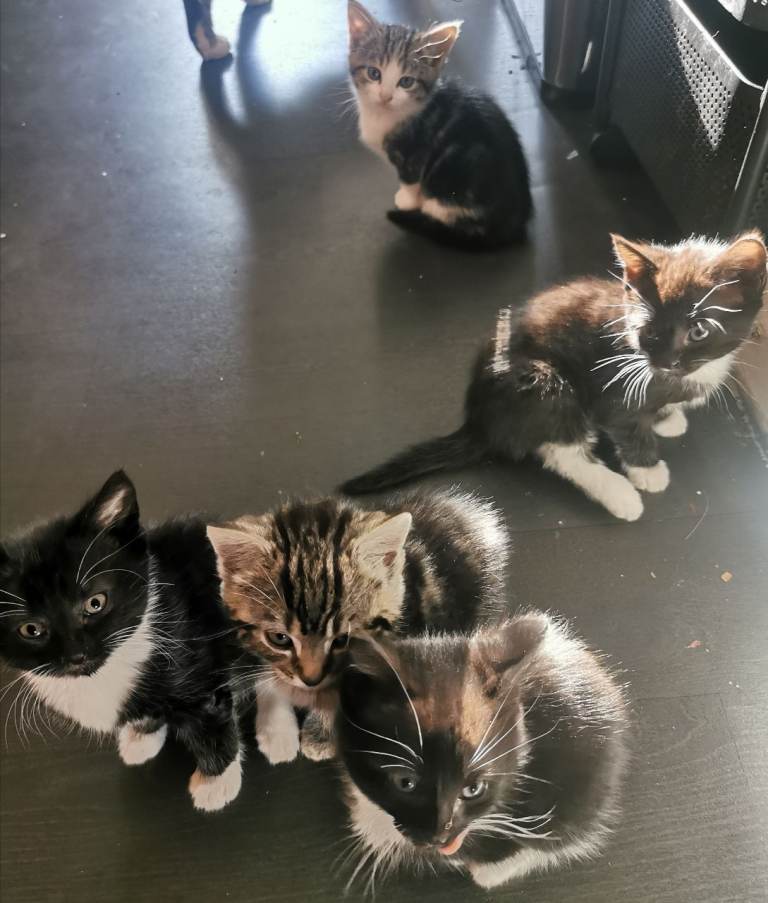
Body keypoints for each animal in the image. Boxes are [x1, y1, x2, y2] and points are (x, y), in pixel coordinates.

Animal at [0, 471, 243, 812]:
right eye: (31, 629)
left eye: (95, 603)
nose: (77, 655)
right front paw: (142, 735)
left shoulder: (201, 663)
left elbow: (210, 721)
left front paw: (216, 782)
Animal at [341, 232, 767, 520]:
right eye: (649, 329)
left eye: (699, 330)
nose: (665, 360)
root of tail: (480, 420)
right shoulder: (616, 387)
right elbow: (629, 429)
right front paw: (647, 469)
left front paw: (668, 417)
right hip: (543, 381)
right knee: (558, 449)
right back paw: (619, 494)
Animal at [347, 1, 532, 249]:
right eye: (373, 73)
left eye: (406, 82)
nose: (386, 97)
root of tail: (513, 226)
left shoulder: (414, 153)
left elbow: (410, 180)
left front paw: (405, 200)